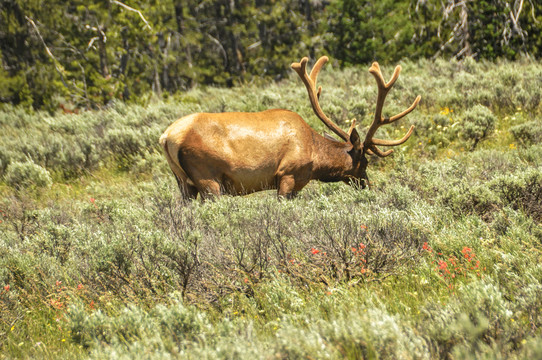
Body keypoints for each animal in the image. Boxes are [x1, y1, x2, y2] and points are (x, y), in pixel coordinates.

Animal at [159, 55, 422, 200]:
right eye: (364, 162)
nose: (368, 185)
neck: (315, 158)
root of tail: (166, 137)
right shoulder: (288, 174)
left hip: (183, 182)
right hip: (207, 177)